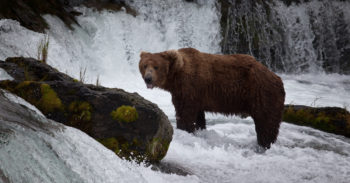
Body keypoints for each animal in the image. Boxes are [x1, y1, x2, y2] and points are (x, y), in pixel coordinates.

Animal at [139, 47, 284, 149]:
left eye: (156, 66)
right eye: (145, 65)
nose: (148, 78)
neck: (176, 77)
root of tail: (277, 77)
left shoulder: (189, 87)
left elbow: (185, 113)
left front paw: (184, 129)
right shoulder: (194, 95)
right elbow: (198, 115)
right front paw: (198, 130)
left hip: (262, 93)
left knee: (266, 123)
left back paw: (264, 144)